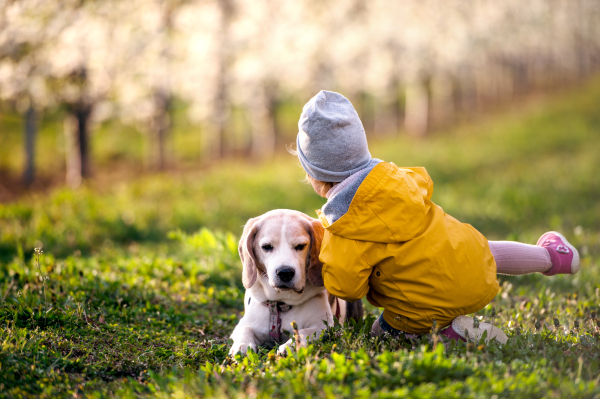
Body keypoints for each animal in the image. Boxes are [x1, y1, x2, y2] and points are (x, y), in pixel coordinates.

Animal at [229, 209, 360, 356]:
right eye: (266, 247)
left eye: (300, 246)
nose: (285, 272)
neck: (281, 304)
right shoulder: (245, 324)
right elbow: (244, 330)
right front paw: (242, 346)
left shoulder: (324, 326)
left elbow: (303, 332)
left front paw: (290, 346)